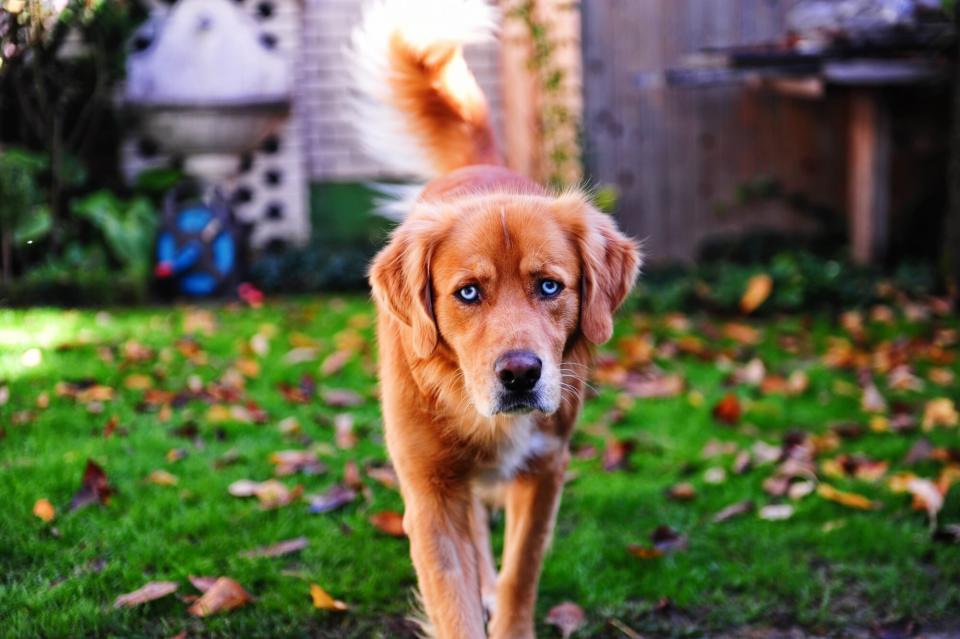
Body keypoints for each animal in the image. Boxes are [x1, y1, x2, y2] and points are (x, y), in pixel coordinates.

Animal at [348, 2, 640, 636]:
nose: (520, 375)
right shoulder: (430, 491)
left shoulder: (544, 470)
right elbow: (453, 600)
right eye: (468, 293)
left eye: (550, 285)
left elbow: (520, 575)